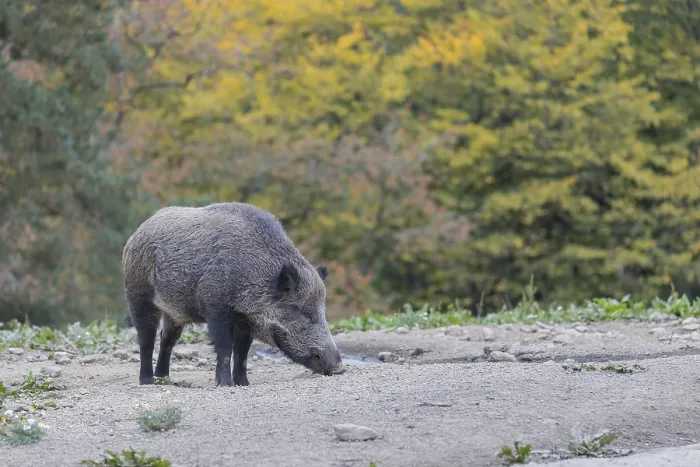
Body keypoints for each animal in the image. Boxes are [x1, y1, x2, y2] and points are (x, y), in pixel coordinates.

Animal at [121, 202, 346, 386]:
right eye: (304, 313)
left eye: (323, 311)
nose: (340, 369)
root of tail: (137, 233)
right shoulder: (215, 308)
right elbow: (225, 348)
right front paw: (226, 385)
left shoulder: (245, 321)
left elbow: (243, 353)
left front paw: (243, 384)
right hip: (138, 294)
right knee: (146, 338)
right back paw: (148, 381)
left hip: (174, 312)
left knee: (167, 339)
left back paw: (164, 378)